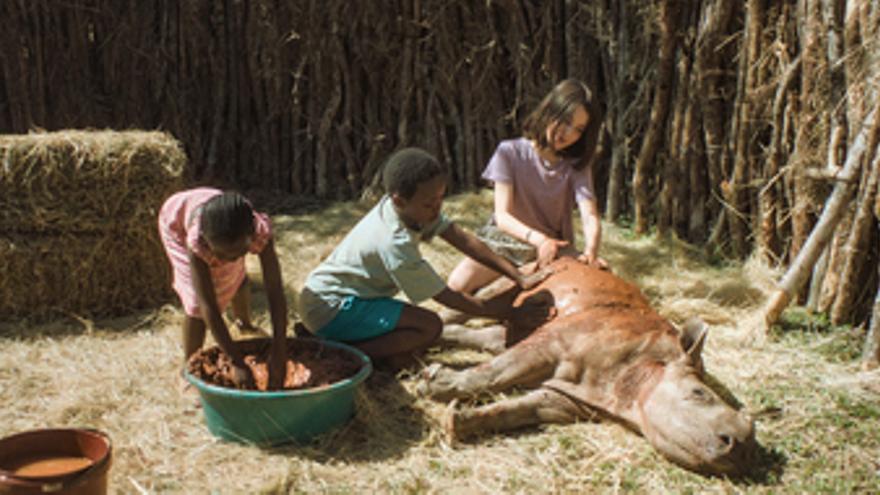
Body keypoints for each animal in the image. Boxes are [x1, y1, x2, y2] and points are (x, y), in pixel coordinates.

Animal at [420, 258, 756, 474]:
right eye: (700, 393)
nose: (741, 446)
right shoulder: (555, 342)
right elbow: (497, 371)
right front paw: (432, 385)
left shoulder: (572, 401)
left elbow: (522, 408)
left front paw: (454, 422)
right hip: (530, 269)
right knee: (489, 299)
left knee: (497, 337)